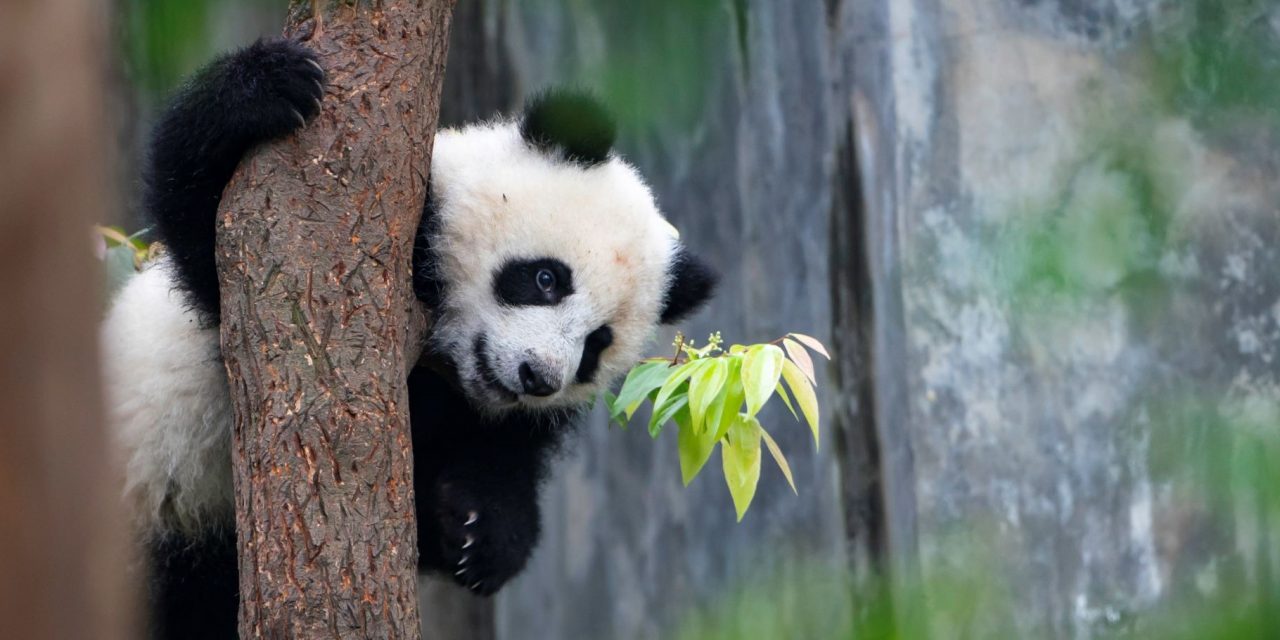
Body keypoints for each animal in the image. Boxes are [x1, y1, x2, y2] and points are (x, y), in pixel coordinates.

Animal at [101, 39, 717, 639]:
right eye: (547, 279)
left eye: (596, 345)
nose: (538, 377)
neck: (442, 363)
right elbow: (210, 229)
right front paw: (266, 87)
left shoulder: (486, 417)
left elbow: (494, 459)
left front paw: (483, 533)